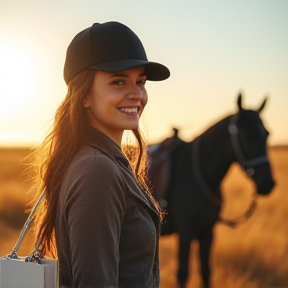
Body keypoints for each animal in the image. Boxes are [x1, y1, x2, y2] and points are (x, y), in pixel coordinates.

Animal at [147, 93, 276, 286]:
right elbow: (182, 274)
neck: (198, 175)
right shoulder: (185, 234)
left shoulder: (207, 233)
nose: (267, 183)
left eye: (267, 134)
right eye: (245, 135)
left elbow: (206, 272)